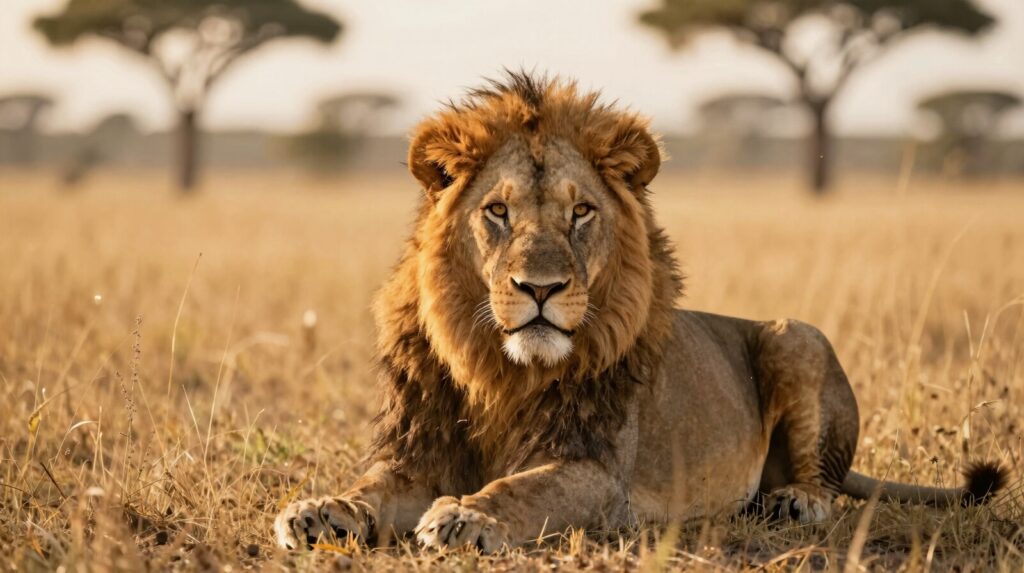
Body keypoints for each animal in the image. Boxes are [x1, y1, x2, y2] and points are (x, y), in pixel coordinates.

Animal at [274, 72, 1007, 553]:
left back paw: (794, 499)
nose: (539, 288)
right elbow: (367, 489)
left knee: (822, 479)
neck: (497, 372)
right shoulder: (416, 456)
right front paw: (317, 510)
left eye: (581, 212)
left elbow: (522, 489)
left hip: (795, 336)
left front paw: (467, 518)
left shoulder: (597, 474)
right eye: (498, 210)